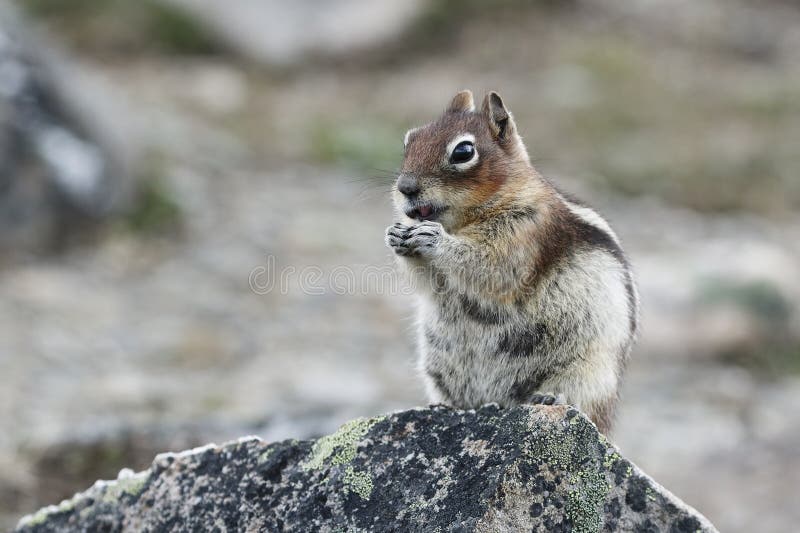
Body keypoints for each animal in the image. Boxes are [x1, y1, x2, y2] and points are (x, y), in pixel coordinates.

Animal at [384, 89, 640, 434]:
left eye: (463, 151)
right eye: (409, 140)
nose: (405, 188)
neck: (466, 223)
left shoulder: (526, 233)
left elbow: (493, 267)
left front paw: (434, 239)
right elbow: (428, 282)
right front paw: (396, 235)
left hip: (590, 374)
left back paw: (550, 398)